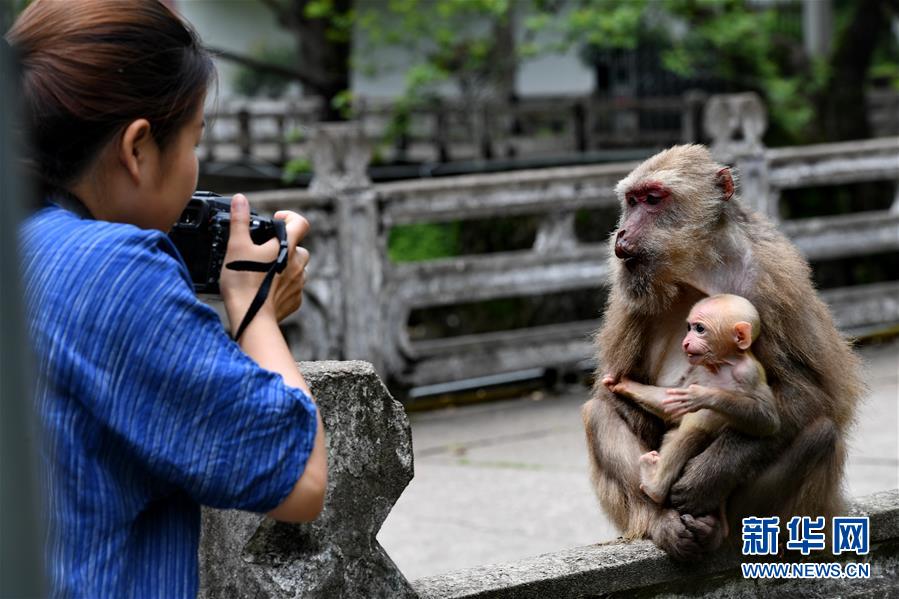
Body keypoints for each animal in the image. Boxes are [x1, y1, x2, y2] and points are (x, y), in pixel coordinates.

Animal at [604, 296, 780, 520]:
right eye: (689, 328)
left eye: (700, 329)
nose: (686, 342)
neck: (722, 364)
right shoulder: (699, 369)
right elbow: (670, 403)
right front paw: (624, 385)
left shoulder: (748, 372)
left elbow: (767, 420)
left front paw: (704, 396)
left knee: (696, 427)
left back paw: (655, 487)